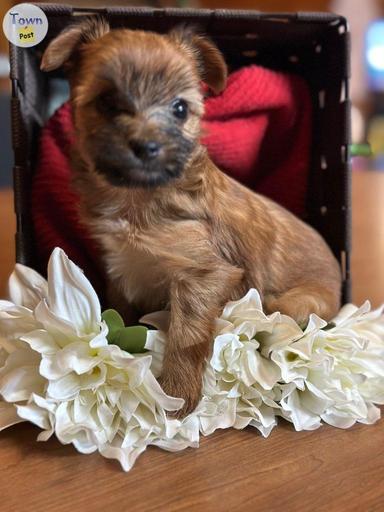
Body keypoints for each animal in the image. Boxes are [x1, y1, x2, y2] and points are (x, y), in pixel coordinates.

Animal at [41, 18, 342, 418]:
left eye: (180, 109)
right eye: (106, 101)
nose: (147, 146)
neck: (139, 195)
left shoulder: (202, 274)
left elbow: (186, 336)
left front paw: (176, 397)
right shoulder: (121, 265)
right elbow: (118, 305)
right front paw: (117, 344)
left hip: (296, 302)